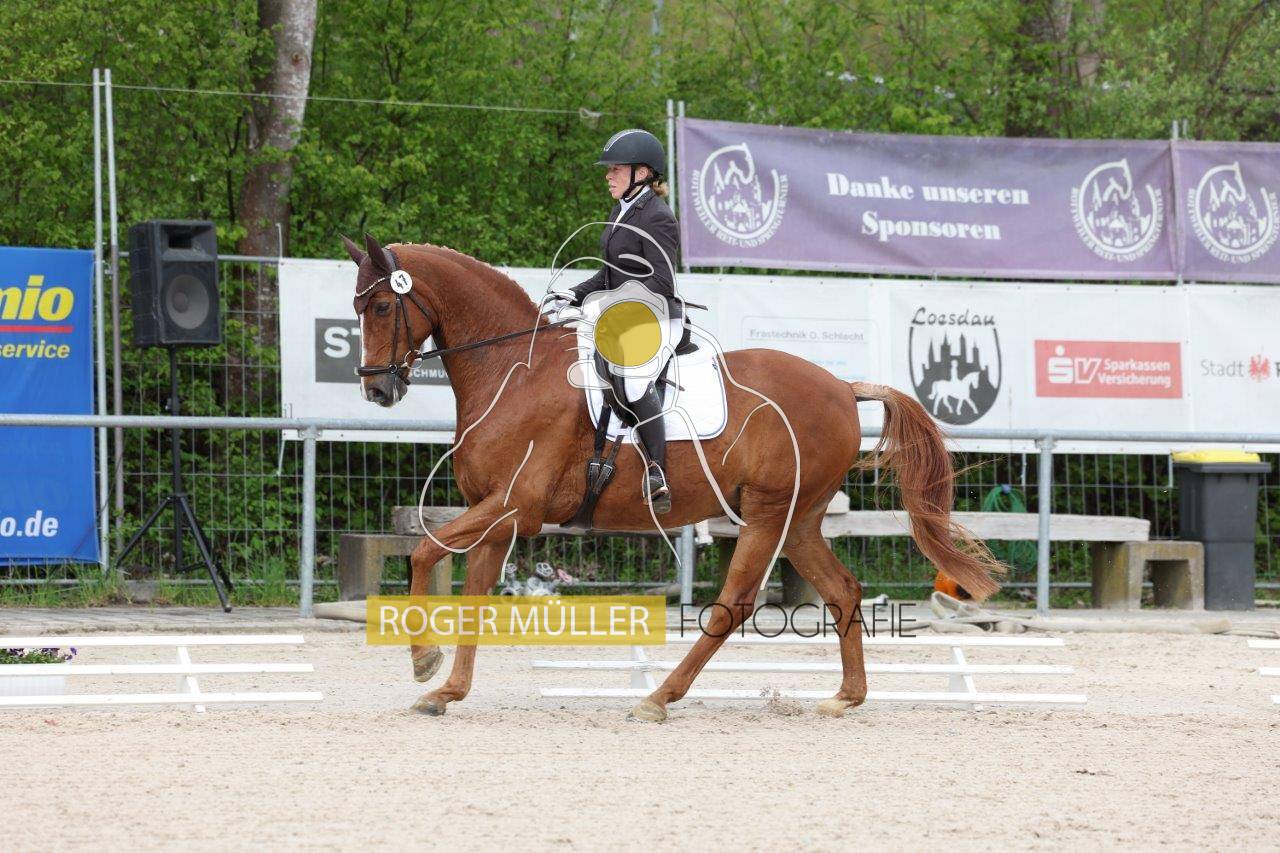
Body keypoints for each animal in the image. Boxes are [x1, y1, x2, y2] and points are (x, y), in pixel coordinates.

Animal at [344, 233, 1003, 722]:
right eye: (358, 309)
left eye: (382, 306)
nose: (377, 391)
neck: (512, 369)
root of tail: (842, 387)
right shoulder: (494, 513)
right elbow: (473, 594)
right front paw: (446, 691)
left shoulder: (513, 506)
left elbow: (423, 552)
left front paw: (423, 663)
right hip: (798, 519)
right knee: (842, 591)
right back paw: (845, 697)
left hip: (767, 513)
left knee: (733, 605)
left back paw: (658, 697)